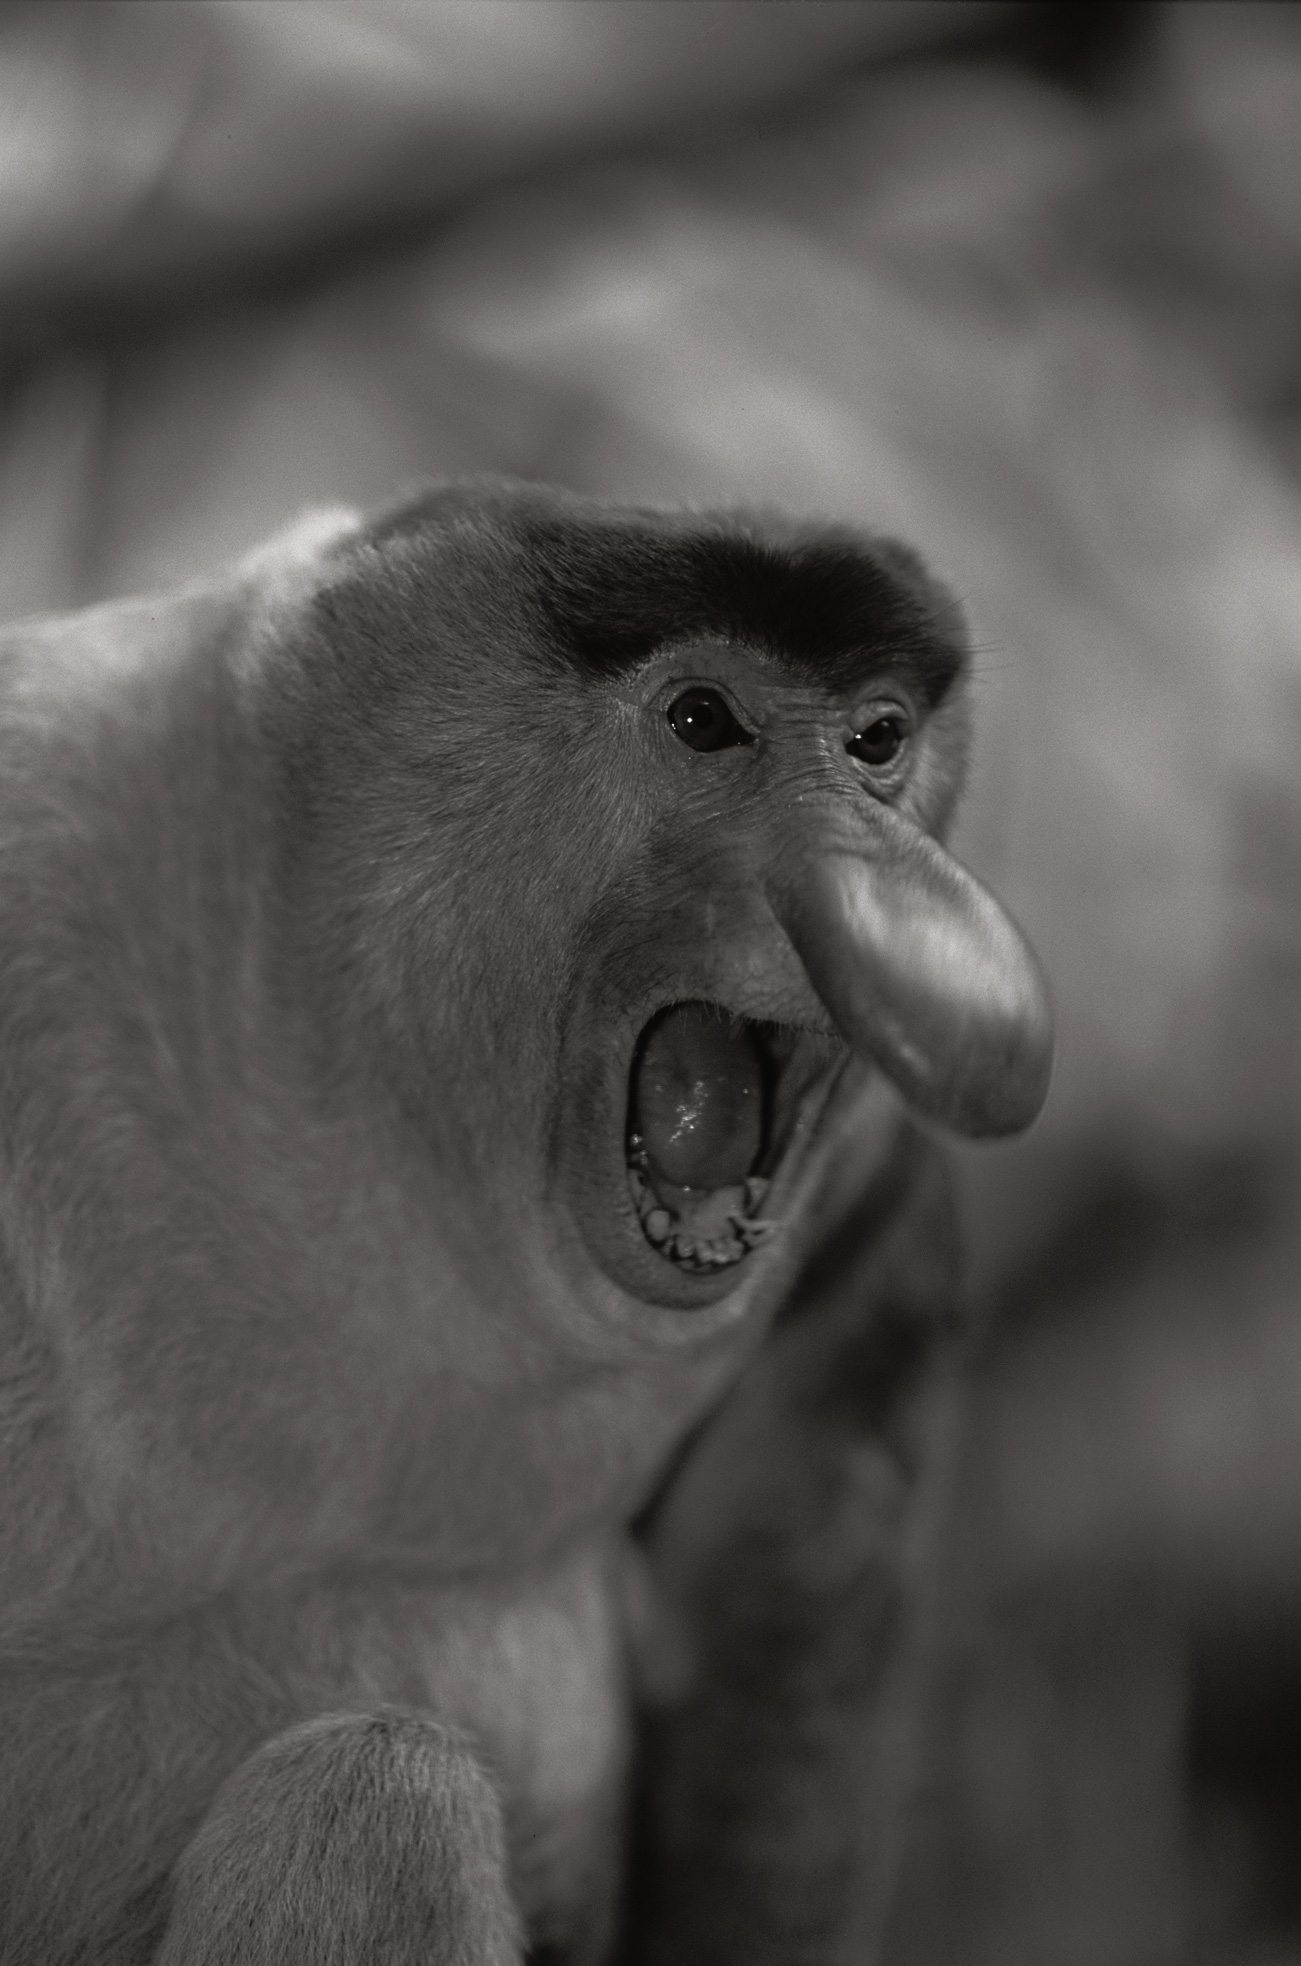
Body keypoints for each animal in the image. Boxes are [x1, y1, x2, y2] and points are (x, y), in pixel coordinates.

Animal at [0, 479, 1053, 1966]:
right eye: (701, 719)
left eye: (878, 739)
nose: (902, 898)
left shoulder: (875, 1192)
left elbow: (766, 1698)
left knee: (377, 1785)